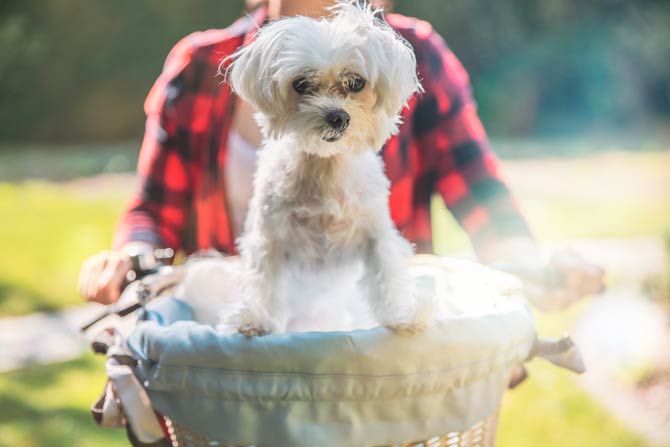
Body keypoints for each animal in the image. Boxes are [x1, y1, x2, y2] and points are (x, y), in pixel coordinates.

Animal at [181, 0, 438, 336]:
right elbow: (263, 280)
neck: (324, 165)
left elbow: (387, 271)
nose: (338, 117)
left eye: (356, 82)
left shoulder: (375, 234)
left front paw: (402, 316)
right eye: (301, 84)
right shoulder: (270, 238)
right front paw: (255, 320)